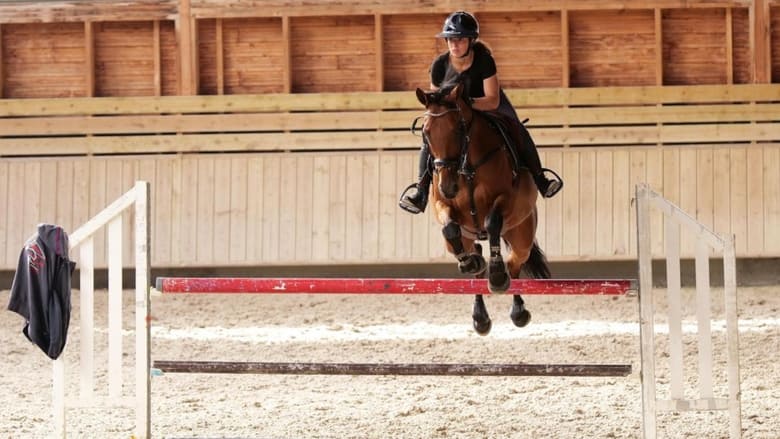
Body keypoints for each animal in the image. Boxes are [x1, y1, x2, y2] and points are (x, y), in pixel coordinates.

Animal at [414, 82, 551, 335]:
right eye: (426, 133)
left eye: (458, 130)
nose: (448, 187)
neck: (467, 166)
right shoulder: (442, 204)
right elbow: (449, 227)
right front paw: (469, 263)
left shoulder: (506, 198)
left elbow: (492, 221)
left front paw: (496, 275)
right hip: (465, 239)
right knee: (473, 258)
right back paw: (480, 315)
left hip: (522, 235)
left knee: (513, 263)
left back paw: (516, 308)